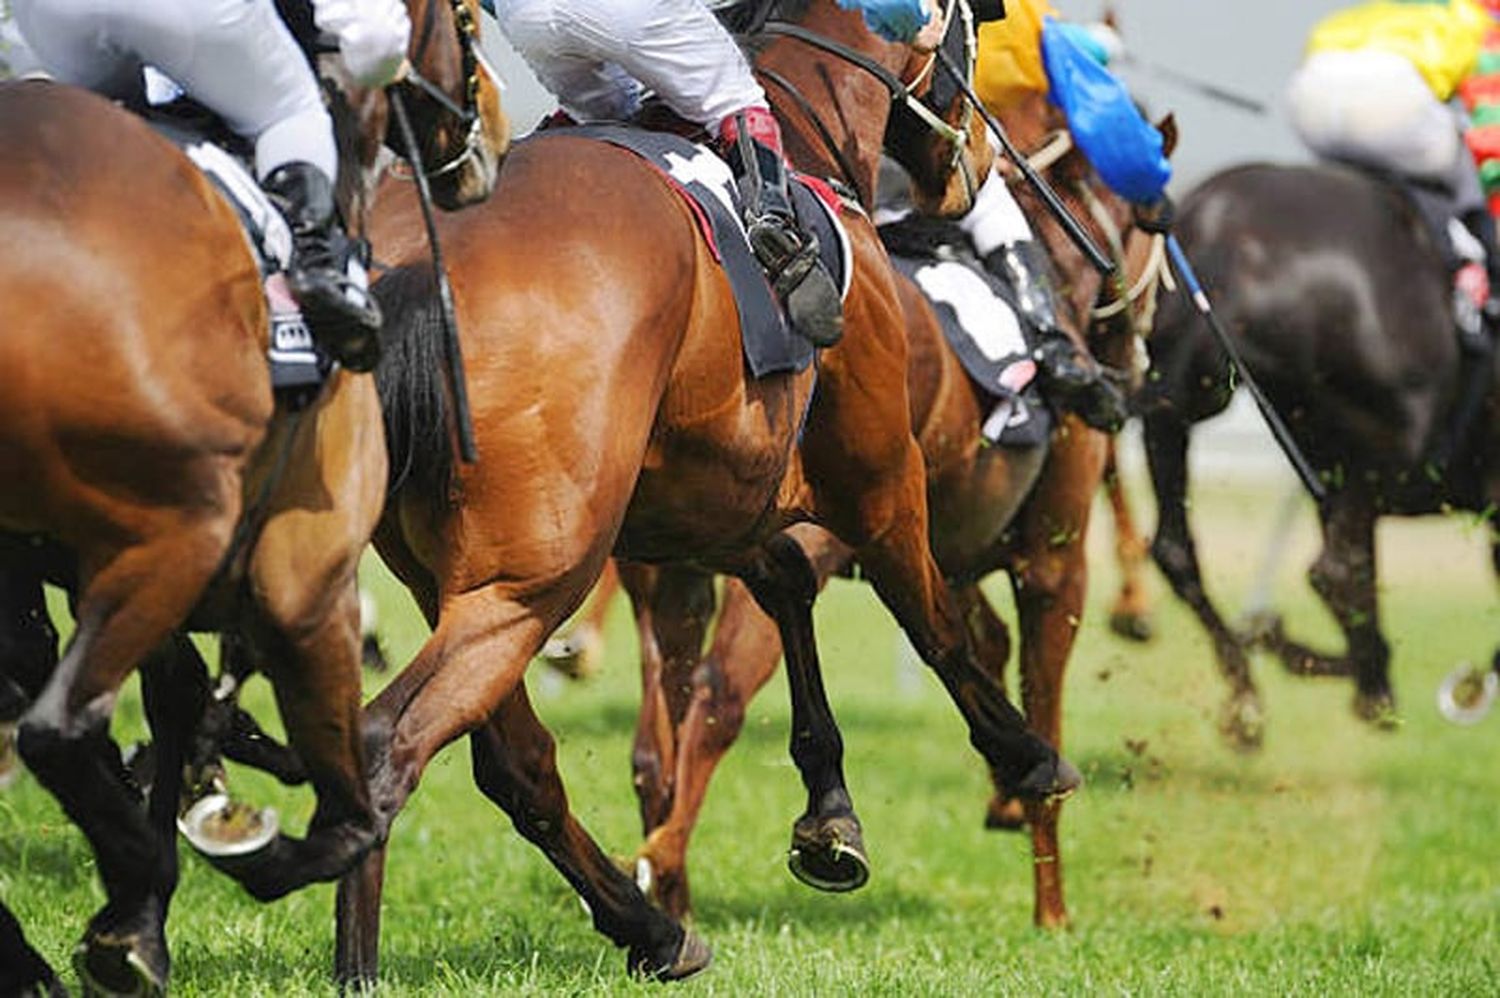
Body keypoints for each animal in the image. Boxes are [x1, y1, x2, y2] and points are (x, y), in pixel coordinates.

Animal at [0, 1, 507, 990]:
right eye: (466, 21)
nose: (493, 137)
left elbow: (177, 694)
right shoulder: (305, 585)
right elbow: (349, 817)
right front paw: (206, 865)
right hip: (181, 532)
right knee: (56, 726)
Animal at [334, 0, 1086, 978]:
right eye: (974, 39)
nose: (978, 166)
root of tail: (414, 268)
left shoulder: (706, 502)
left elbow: (786, 590)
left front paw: (829, 818)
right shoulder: (879, 473)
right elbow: (935, 623)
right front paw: (1027, 756)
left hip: (448, 573)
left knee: (516, 763)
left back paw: (653, 929)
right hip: (534, 576)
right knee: (393, 742)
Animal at [621, 91, 1170, 924]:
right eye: (1154, 224)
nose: (1134, 361)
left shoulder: (942, 551)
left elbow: (979, 646)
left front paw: (1008, 796)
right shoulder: (1052, 561)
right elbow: (1037, 693)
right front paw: (1051, 905)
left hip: (670, 564)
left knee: (659, 732)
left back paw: (669, 884)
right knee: (718, 694)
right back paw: (676, 858)